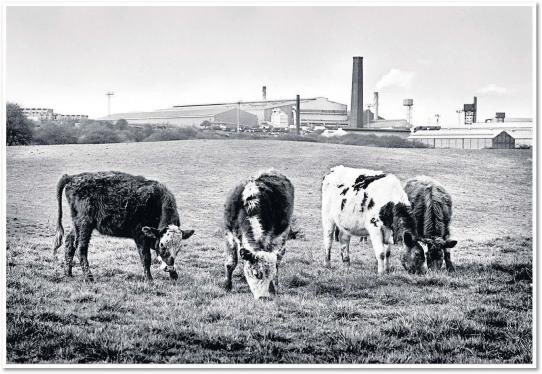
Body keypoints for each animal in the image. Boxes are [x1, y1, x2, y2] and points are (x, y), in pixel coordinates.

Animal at [51, 172, 196, 280]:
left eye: (179, 247)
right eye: (162, 244)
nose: (169, 268)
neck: (156, 201)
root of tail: (72, 177)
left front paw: (174, 275)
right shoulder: (140, 235)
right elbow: (146, 258)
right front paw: (149, 280)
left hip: (77, 223)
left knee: (70, 242)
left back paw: (68, 273)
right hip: (84, 223)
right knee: (81, 248)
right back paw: (89, 277)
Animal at [223, 171, 296, 300]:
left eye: (270, 275)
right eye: (257, 274)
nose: (264, 297)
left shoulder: (269, 238)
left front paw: (272, 289)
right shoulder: (229, 233)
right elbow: (230, 263)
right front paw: (227, 286)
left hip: (284, 232)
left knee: (278, 259)